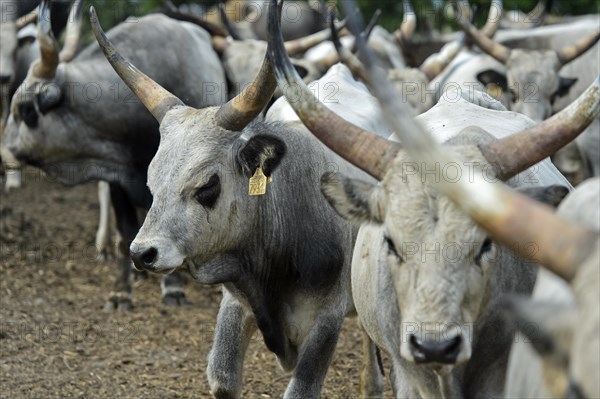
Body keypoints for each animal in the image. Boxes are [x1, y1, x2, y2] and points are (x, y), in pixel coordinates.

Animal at [3, 0, 227, 310]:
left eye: (25, 109)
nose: (4, 150)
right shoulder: (117, 179)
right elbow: (126, 231)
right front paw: (121, 291)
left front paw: (173, 288)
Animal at [91, 2, 392, 396]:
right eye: (152, 181)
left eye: (207, 186)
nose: (143, 253)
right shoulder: (235, 305)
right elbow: (222, 378)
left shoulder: (326, 322)